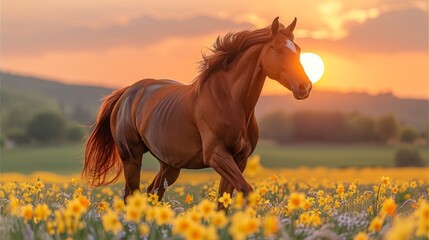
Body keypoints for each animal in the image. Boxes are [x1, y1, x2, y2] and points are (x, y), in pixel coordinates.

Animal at [83, 17, 310, 208]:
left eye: (298, 50)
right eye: (278, 50)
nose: (305, 87)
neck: (229, 100)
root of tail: (127, 93)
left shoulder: (239, 160)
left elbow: (223, 202)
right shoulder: (216, 155)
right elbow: (246, 190)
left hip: (169, 165)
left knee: (152, 192)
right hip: (131, 156)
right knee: (132, 194)